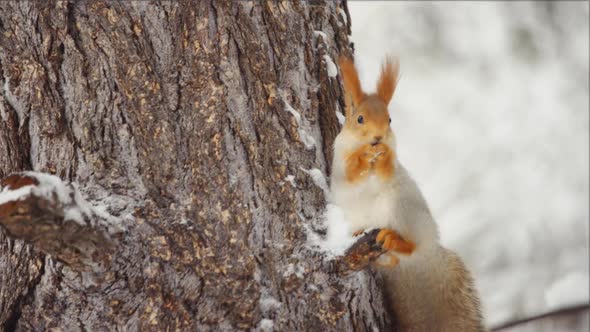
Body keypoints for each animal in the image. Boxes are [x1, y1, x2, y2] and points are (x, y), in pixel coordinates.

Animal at [330, 55, 488, 330]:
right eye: (359, 119)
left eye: (389, 119)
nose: (378, 137)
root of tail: (426, 255)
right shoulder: (339, 158)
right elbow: (351, 172)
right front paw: (364, 157)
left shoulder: (393, 164)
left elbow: (387, 169)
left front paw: (382, 155)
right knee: (391, 258)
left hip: (401, 209)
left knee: (410, 247)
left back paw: (396, 240)